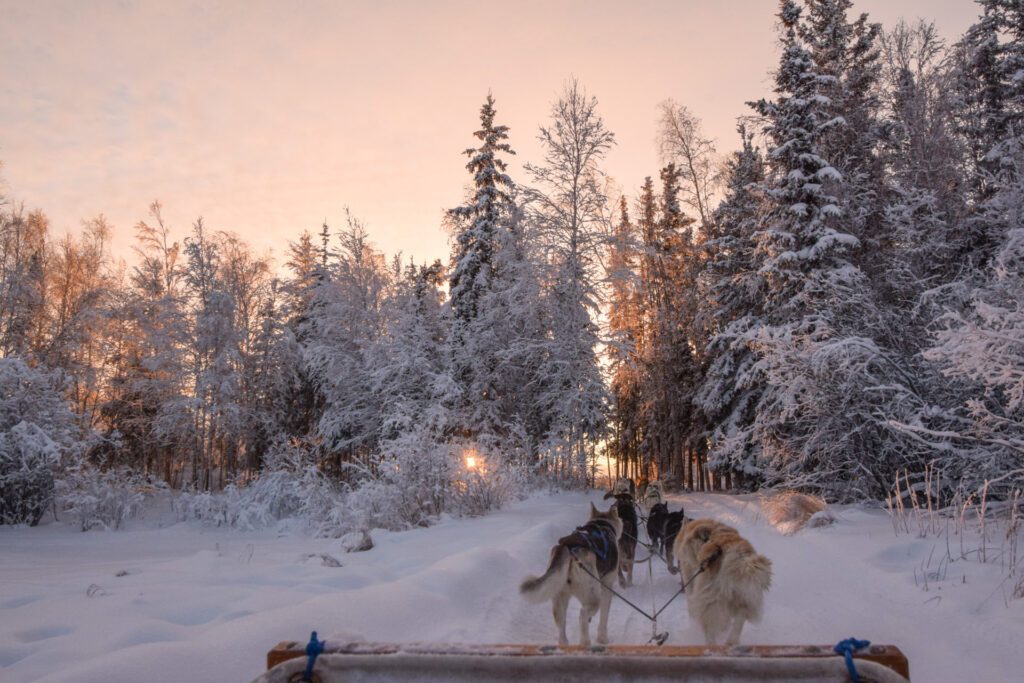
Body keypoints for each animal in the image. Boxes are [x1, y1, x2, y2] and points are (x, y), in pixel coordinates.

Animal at [520, 501, 622, 647]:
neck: (602, 524)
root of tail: (568, 548)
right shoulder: (607, 588)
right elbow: (604, 619)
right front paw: (603, 639)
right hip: (593, 597)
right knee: (582, 615)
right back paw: (585, 643)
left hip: (559, 599)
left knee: (562, 628)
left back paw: (565, 644)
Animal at [671, 518, 770, 647]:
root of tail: (736, 554)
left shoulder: (690, 582)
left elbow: (692, 609)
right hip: (745, 598)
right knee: (739, 619)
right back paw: (731, 642)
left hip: (710, 600)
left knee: (710, 629)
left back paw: (712, 645)